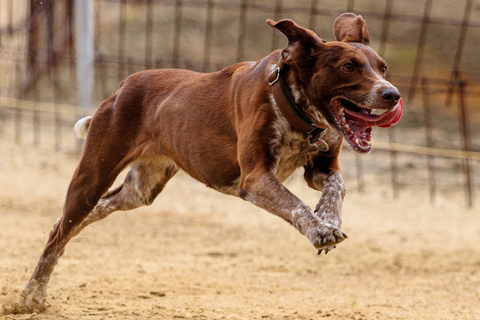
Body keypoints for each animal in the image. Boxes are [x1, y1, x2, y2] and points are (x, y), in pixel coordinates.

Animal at [15, 13, 402, 312]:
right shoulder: (256, 178)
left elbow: (337, 187)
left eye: (382, 67)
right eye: (348, 67)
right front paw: (319, 229)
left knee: (78, 219)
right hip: (92, 176)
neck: (292, 105)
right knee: (60, 235)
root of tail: (122, 87)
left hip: (140, 190)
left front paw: (328, 218)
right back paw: (31, 297)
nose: (392, 94)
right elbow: (296, 205)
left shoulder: (320, 167)